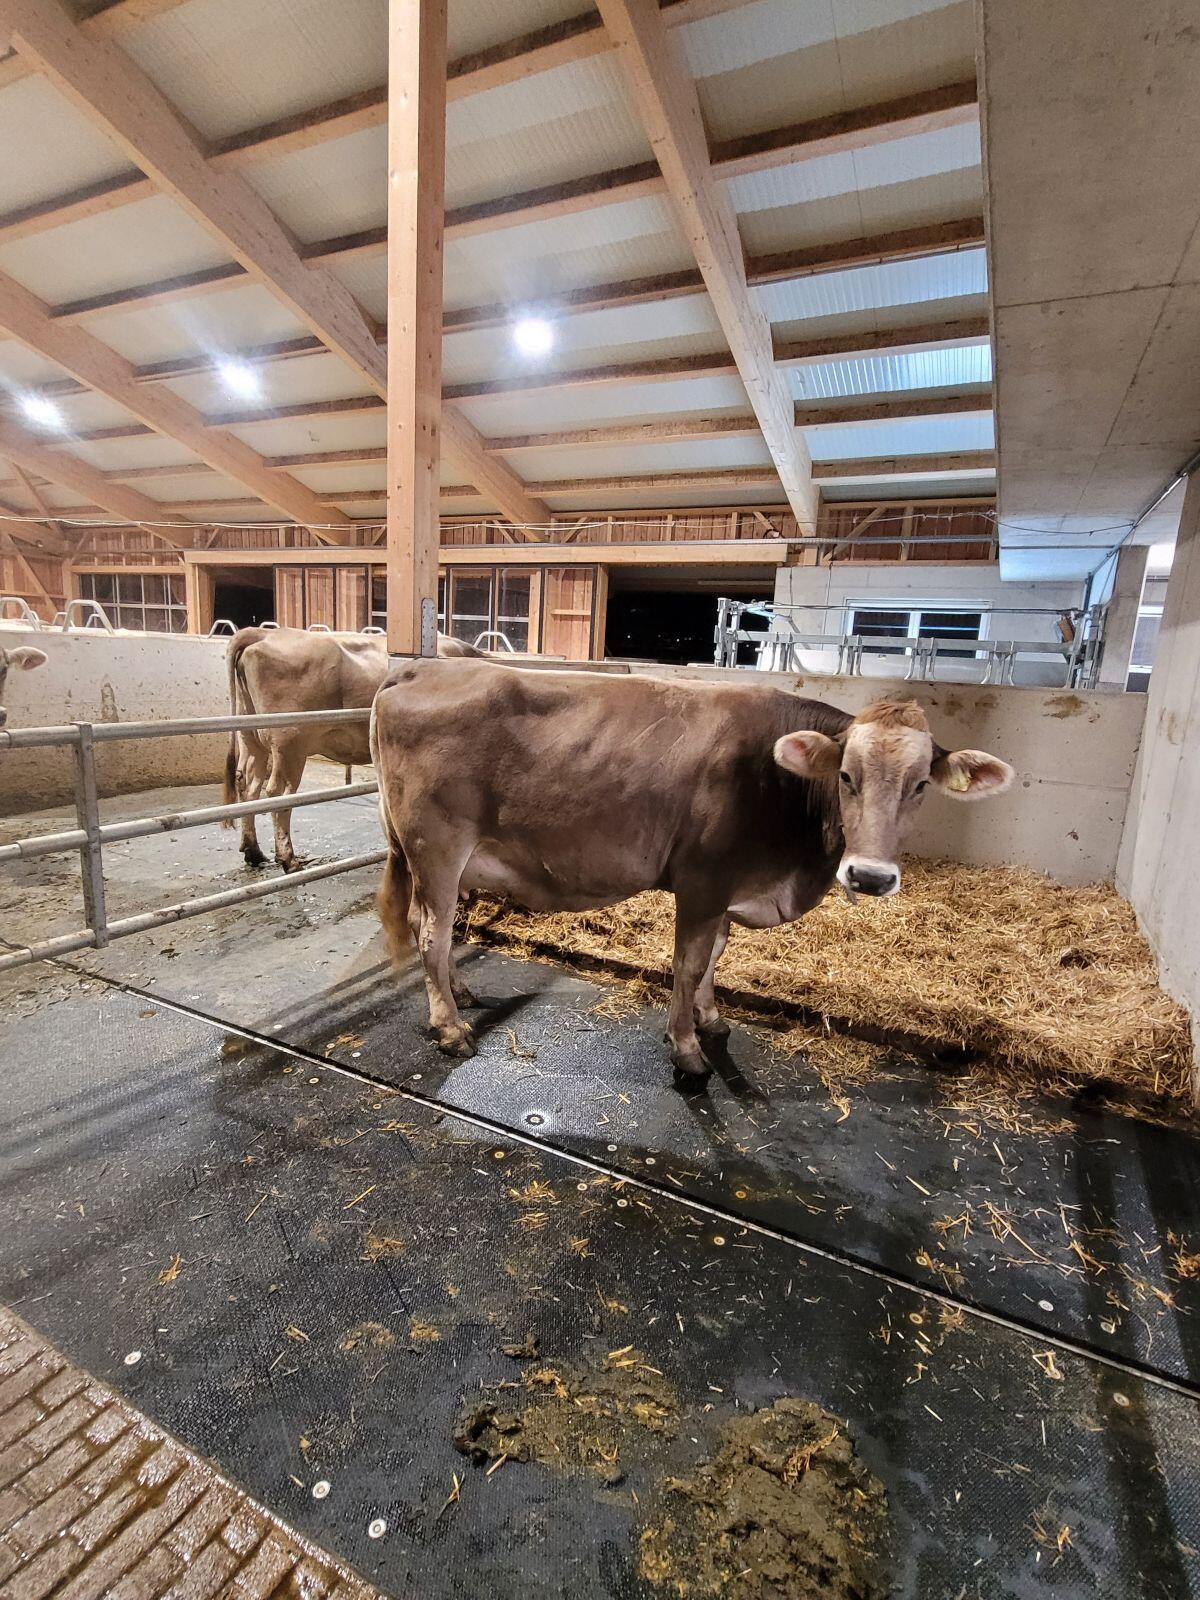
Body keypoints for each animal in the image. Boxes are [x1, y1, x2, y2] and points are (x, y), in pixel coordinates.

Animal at [223, 627, 485, 872]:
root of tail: (264, 633)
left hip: (251, 738)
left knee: (248, 785)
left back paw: (253, 851)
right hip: (288, 745)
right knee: (278, 793)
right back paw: (288, 859)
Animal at [370, 661, 1013, 1078]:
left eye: (921, 784)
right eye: (845, 776)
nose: (870, 877)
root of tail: (421, 668)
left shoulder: (729, 886)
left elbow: (719, 953)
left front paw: (711, 1018)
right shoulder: (703, 880)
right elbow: (689, 962)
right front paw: (685, 1048)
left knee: (434, 927)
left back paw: (459, 992)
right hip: (437, 846)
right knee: (432, 933)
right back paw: (450, 1027)